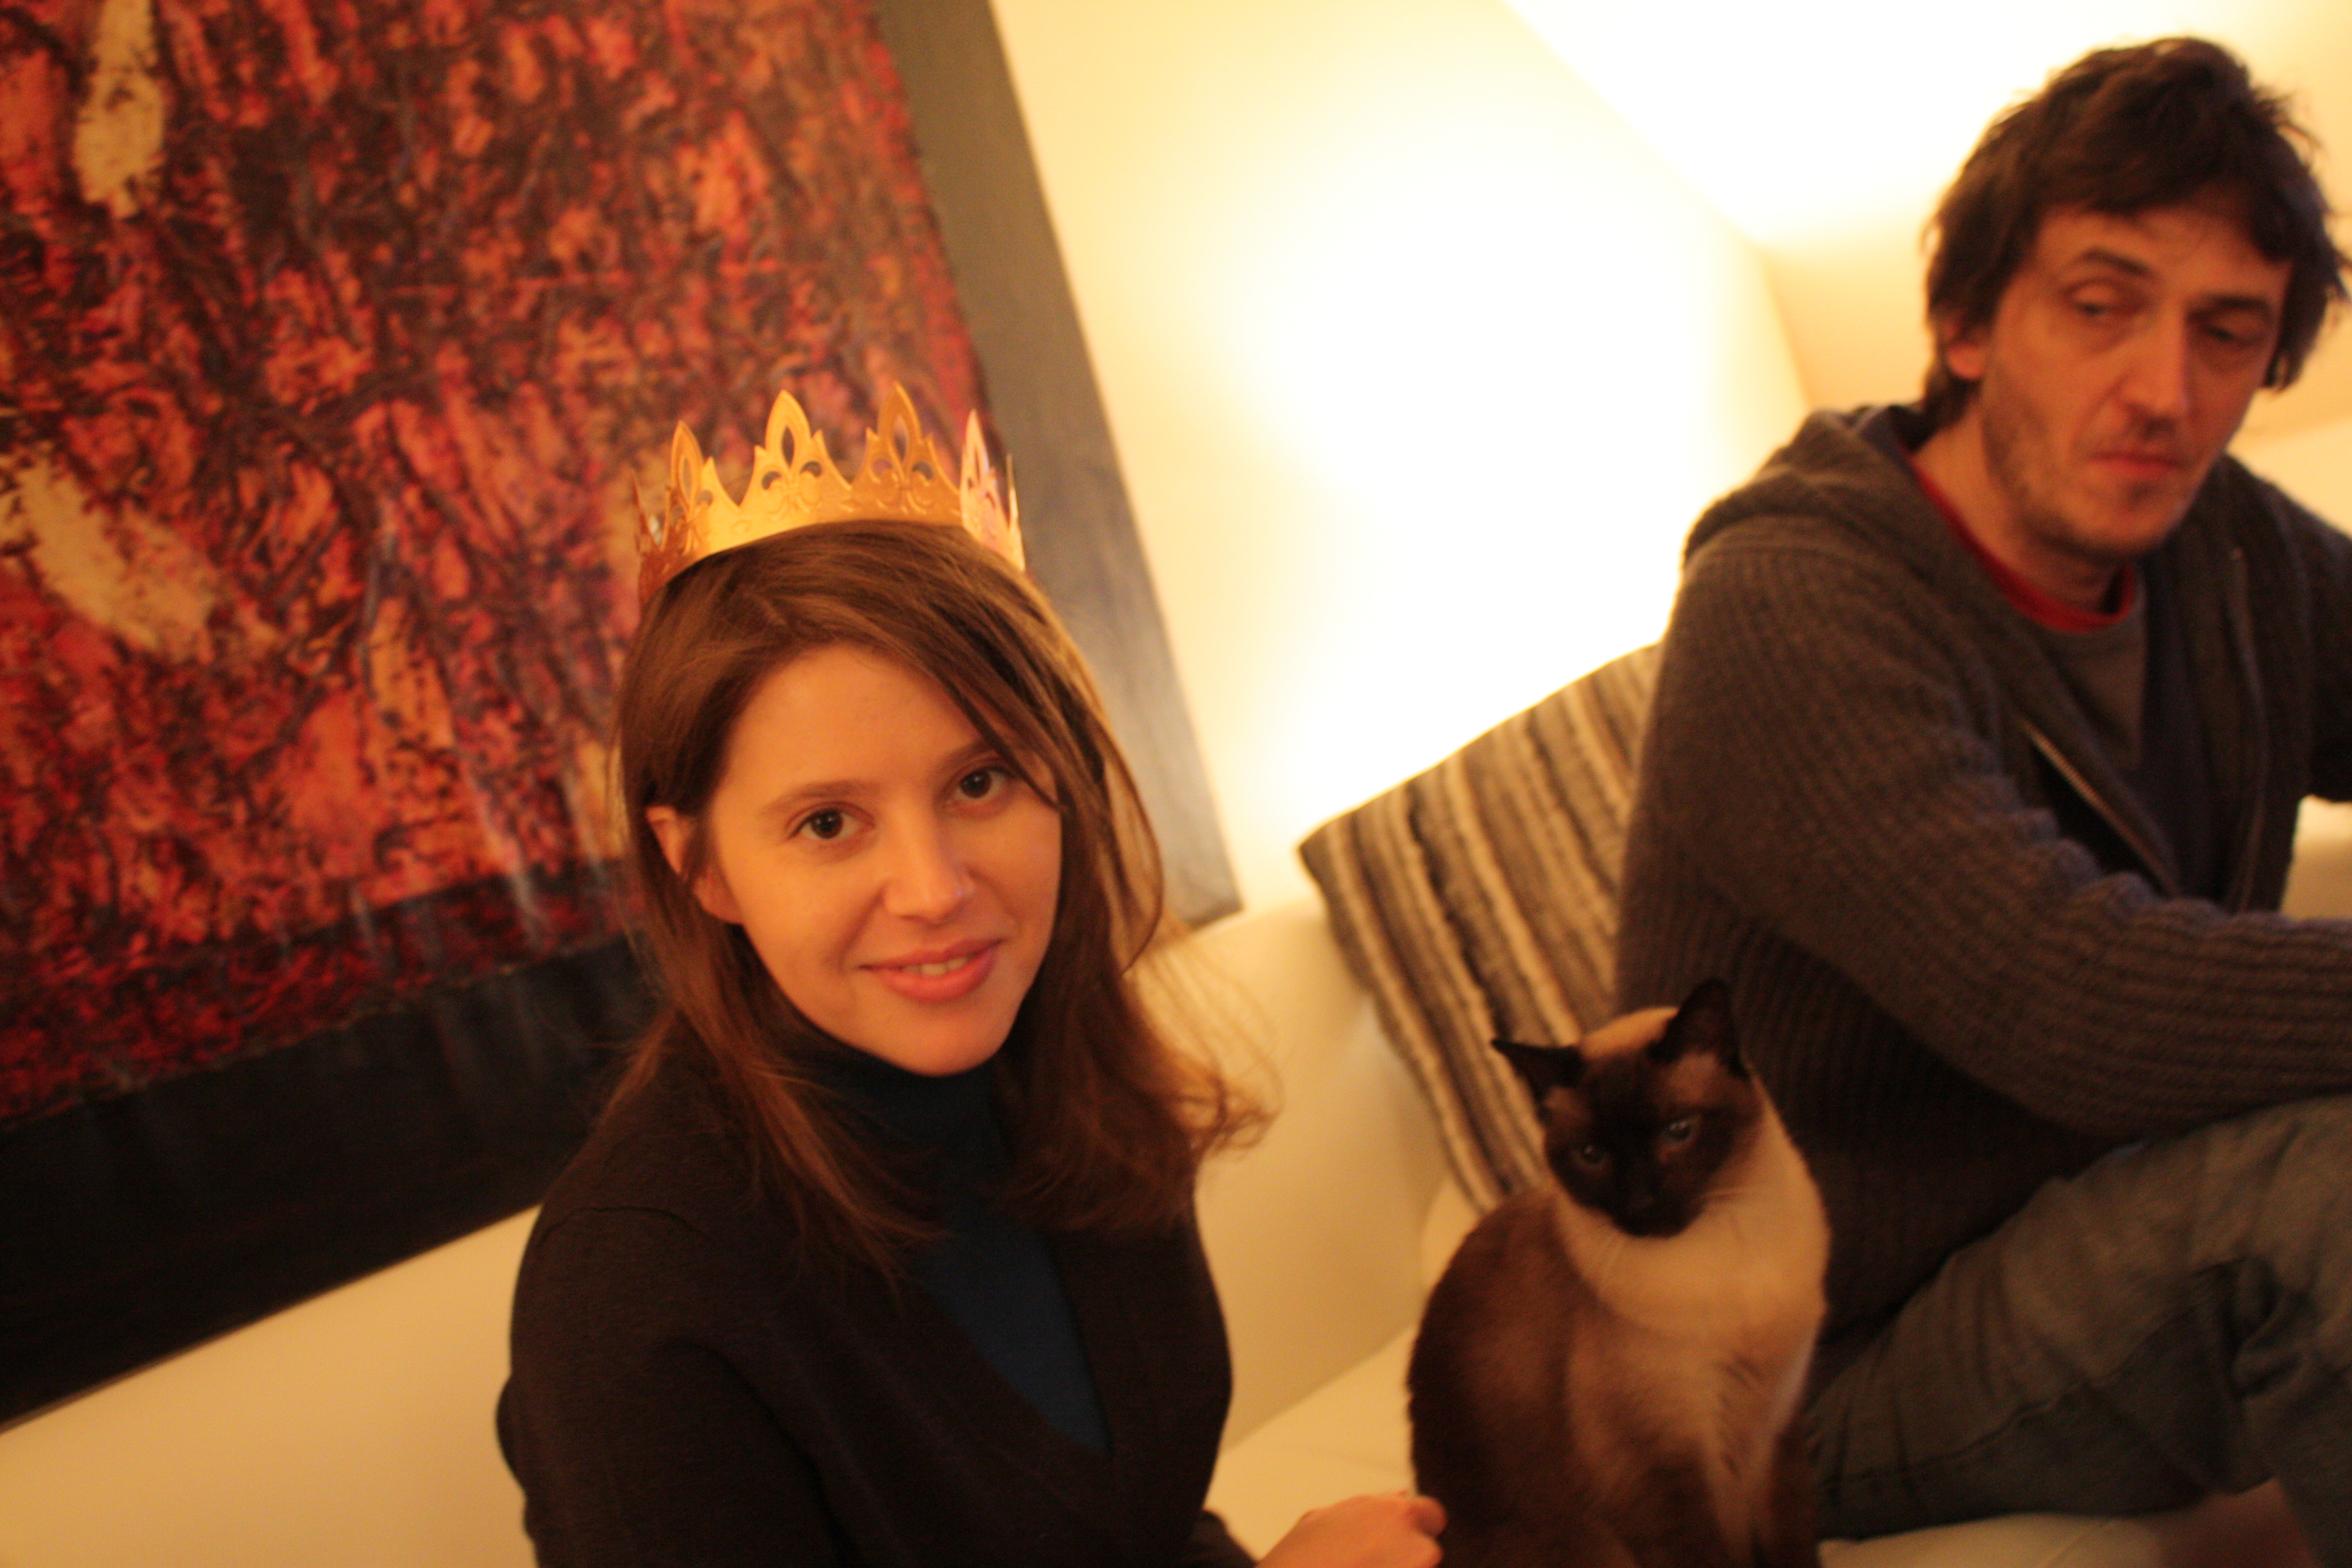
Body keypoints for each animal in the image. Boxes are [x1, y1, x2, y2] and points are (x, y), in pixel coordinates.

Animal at [1407, 979, 1830, 1568]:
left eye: (1678, 1132)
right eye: (1592, 1155)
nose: (1642, 1203)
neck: (1731, 1261)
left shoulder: (1777, 1433)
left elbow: (1795, 1544)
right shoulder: (1659, 1476)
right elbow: (1709, 1554)